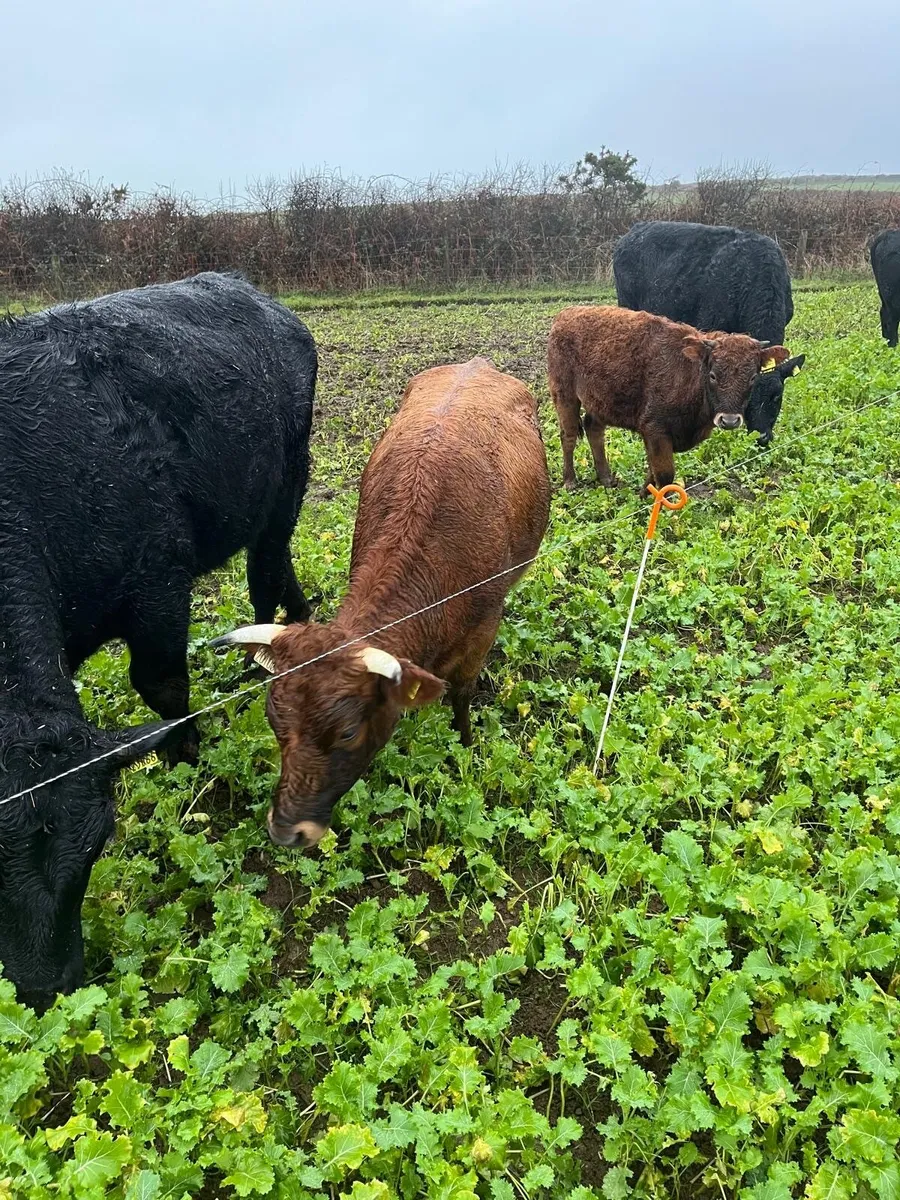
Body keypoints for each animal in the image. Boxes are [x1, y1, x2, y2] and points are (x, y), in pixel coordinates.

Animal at [0, 271, 316, 1007]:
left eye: (94, 848)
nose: (44, 990)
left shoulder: (158, 584)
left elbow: (163, 686)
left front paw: (187, 764)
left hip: (286, 485)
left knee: (266, 569)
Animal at [213, 358, 550, 849]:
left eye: (348, 731)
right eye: (275, 723)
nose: (287, 830)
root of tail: (477, 363)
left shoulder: (482, 630)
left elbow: (462, 695)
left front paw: (465, 744)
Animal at [547, 305, 790, 492]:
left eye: (753, 377)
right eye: (712, 375)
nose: (729, 420)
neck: (690, 372)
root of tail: (565, 315)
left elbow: (653, 470)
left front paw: (643, 494)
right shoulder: (656, 430)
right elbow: (665, 475)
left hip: (600, 402)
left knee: (593, 429)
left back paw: (606, 478)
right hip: (564, 395)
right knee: (568, 435)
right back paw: (570, 481)